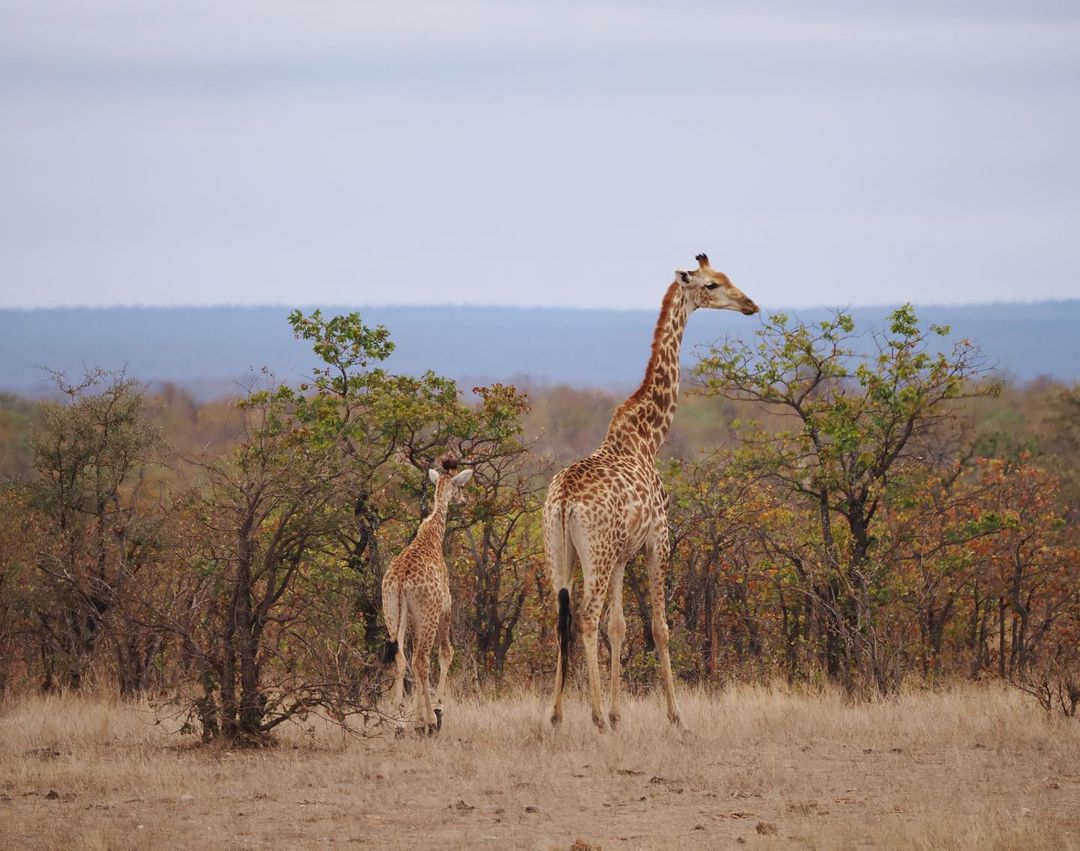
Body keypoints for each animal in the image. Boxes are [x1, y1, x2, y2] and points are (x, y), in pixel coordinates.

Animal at [380, 455, 473, 734]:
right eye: (461, 486)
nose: (464, 501)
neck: (432, 535)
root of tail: (400, 580)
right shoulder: (445, 606)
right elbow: (446, 653)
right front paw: (436, 711)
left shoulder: (411, 617)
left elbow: (410, 659)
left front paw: (416, 718)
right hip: (429, 614)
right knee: (422, 659)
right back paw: (431, 721)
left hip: (391, 612)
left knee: (401, 659)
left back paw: (400, 723)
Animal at [544, 252, 756, 730]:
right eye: (712, 285)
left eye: (727, 276)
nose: (750, 304)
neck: (647, 437)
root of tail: (564, 500)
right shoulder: (658, 540)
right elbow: (658, 626)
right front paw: (675, 714)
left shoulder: (625, 553)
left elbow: (620, 625)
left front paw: (620, 712)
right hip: (596, 553)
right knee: (585, 618)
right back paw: (595, 718)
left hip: (560, 552)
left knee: (563, 618)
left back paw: (557, 715)